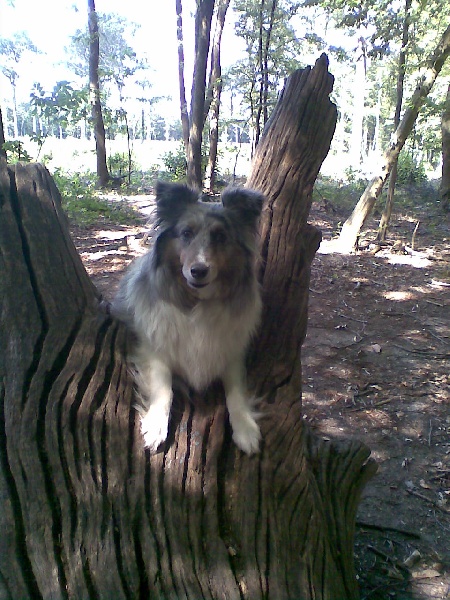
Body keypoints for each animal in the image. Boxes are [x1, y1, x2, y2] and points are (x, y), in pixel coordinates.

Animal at [112, 180, 266, 452]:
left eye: (220, 236)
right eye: (186, 233)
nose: (199, 270)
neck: (197, 303)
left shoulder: (232, 352)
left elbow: (236, 391)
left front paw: (246, 428)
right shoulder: (153, 349)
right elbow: (164, 387)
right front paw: (155, 426)